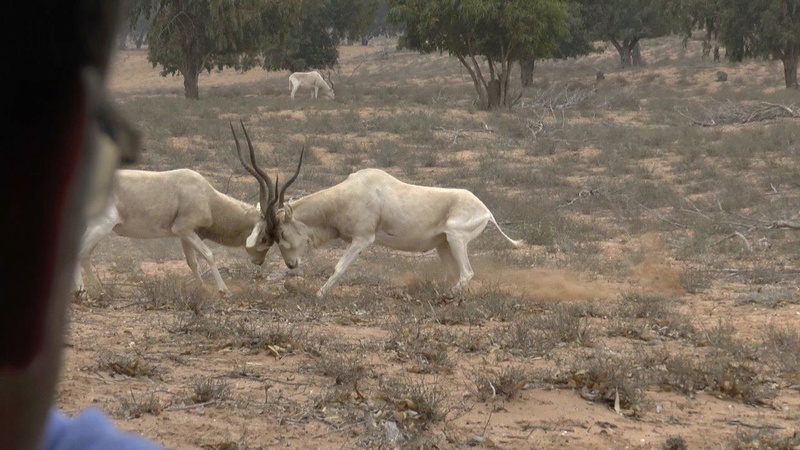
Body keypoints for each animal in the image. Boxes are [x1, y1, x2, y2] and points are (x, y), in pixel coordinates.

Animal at [75, 121, 280, 298]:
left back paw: (98, 290)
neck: (207, 198)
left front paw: (202, 289)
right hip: (101, 226)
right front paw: (224, 290)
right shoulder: (184, 229)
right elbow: (209, 255)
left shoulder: (184, 235)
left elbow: (193, 262)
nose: (259, 261)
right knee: (80, 253)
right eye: (264, 238)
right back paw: (82, 292)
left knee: (85, 255)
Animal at [247, 151, 528, 298]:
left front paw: (319, 295)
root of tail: (486, 211)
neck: (351, 192)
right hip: (444, 245)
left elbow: (339, 267)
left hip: (456, 240)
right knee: (454, 274)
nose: (291, 265)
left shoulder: (363, 239)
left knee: (467, 273)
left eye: (281, 233)